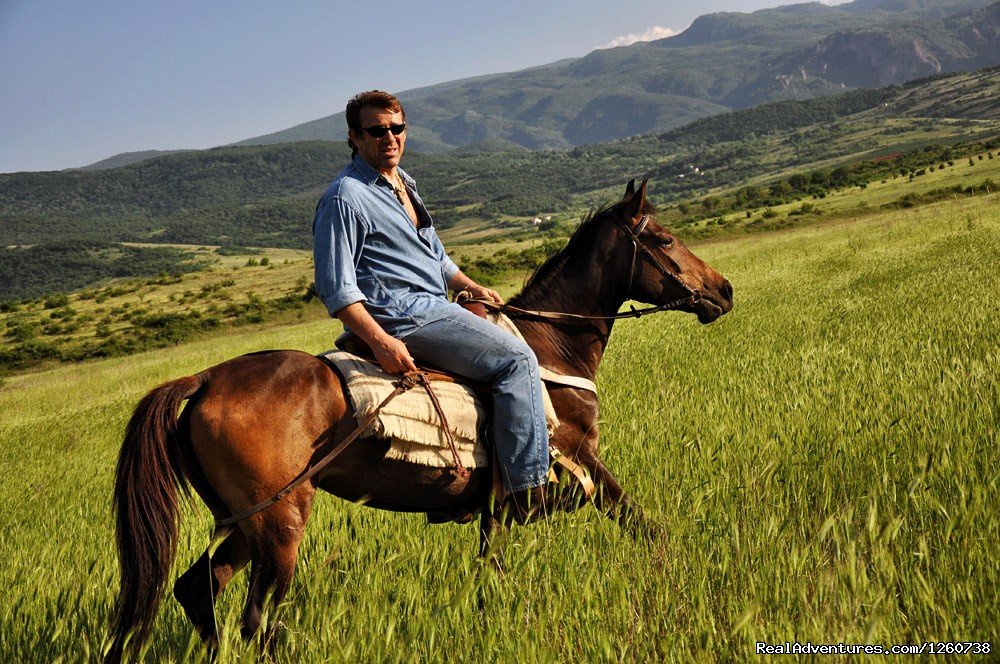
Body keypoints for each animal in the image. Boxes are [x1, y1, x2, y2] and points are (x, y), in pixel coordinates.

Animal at [107, 179, 736, 660]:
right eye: (665, 239)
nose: (724, 290)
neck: (550, 347)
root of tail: (206, 378)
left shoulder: (500, 502)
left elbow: (492, 563)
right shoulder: (579, 458)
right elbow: (637, 521)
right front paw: (676, 571)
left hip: (244, 523)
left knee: (198, 589)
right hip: (280, 524)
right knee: (256, 619)